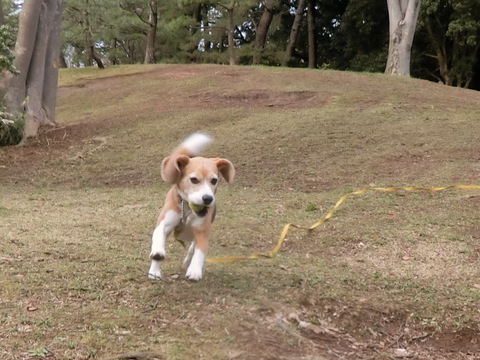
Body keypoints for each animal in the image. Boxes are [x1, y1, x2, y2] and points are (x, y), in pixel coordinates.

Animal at [148, 133, 234, 282]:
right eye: (194, 179)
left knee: (191, 250)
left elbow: (199, 252)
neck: (187, 209)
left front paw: (194, 270)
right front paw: (157, 255)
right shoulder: (164, 223)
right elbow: (158, 237)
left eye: (214, 180)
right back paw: (154, 271)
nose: (207, 198)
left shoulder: (202, 233)